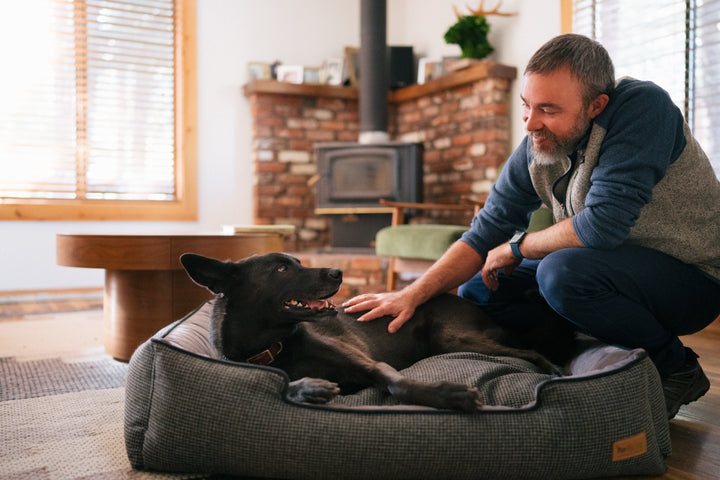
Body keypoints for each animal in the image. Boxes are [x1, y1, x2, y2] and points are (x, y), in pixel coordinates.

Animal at [181, 251, 572, 412]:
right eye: (280, 269)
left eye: (297, 261)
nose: (338, 272)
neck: (273, 344)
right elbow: (283, 386)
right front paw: (307, 388)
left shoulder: (368, 363)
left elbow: (397, 383)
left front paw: (449, 396)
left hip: (454, 337)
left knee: (531, 353)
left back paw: (556, 371)